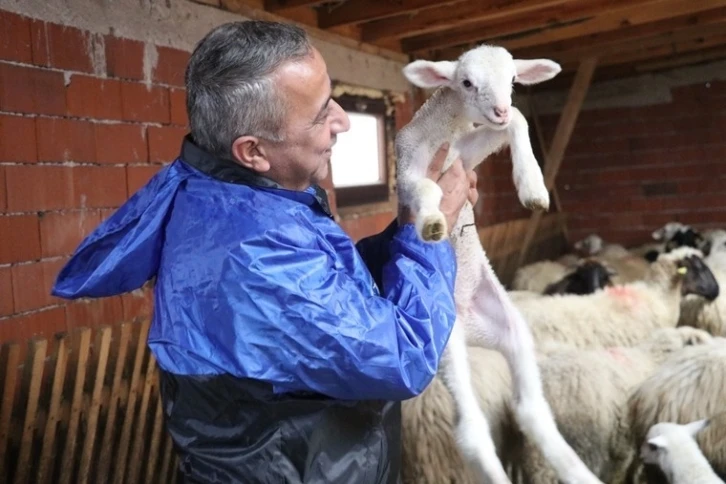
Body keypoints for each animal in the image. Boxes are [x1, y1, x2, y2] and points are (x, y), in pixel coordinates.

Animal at [398, 42, 604, 484]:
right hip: (446, 345)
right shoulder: (408, 169)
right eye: (466, 82)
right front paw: (432, 222)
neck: (444, 132)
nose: (499, 109)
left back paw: (577, 471)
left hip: (510, 327)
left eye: (513, 80)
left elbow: (519, 123)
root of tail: (468, 325)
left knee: (531, 409)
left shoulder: (465, 157)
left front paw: (534, 188)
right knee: (472, 433)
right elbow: (425, 189)